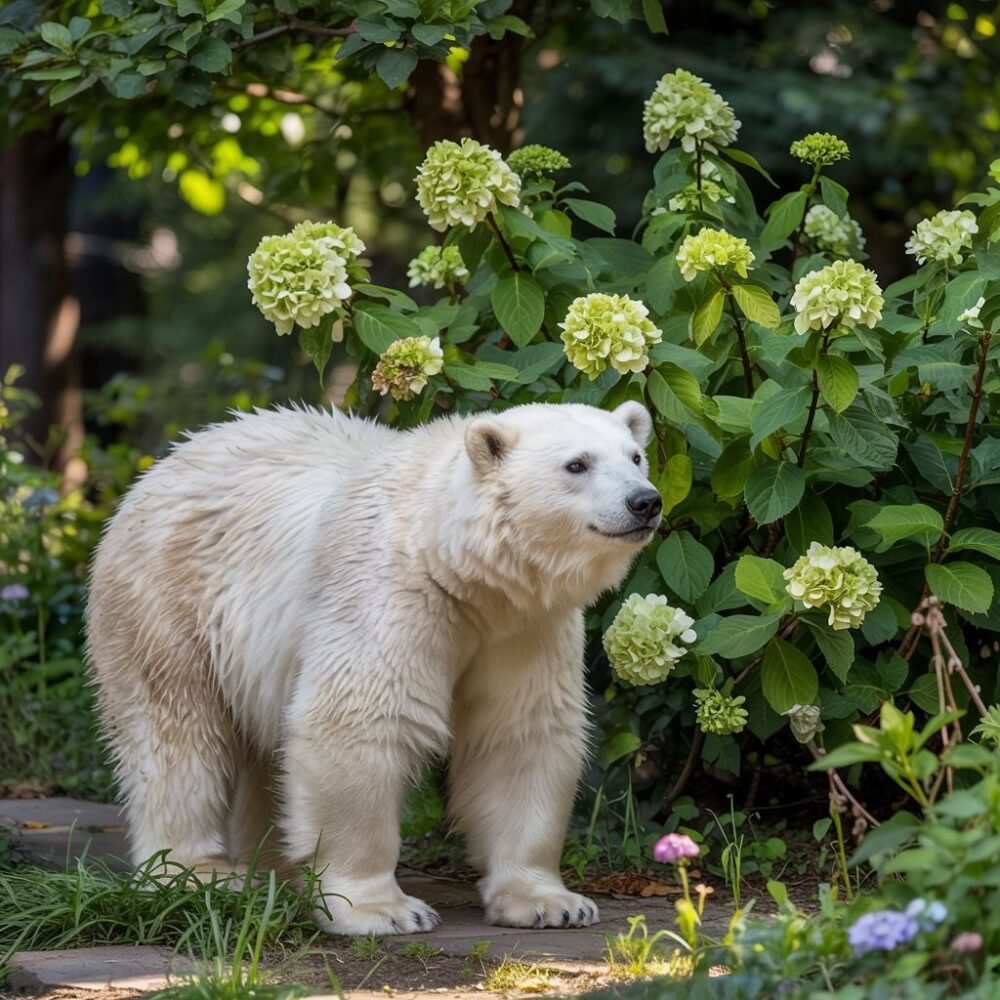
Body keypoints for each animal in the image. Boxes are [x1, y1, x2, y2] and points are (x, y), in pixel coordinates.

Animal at [85, 400, 663, 935]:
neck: (459, 567)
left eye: (635, 456)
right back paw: (196, 873)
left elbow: (519, 736)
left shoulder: (524, 627)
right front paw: (381, 910)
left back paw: (277, 872)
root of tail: (161, 466)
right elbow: (358, 722)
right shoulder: (389, 590)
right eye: (576, 464)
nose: (645, 501)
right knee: (176, 731)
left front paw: (551, 903)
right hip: (166, 597)